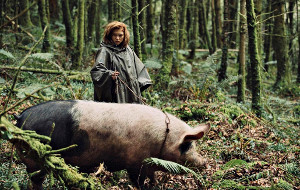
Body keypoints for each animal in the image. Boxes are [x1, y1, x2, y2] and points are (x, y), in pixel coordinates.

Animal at [15, 101, 209, 189]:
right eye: (188, 146)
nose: (205, 163)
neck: (164, 139)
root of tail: (20, 116)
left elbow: (152, 177)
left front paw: (155, 185)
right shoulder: (135, 163)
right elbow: (138, 180)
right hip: (34, 158)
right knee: (36, 180)